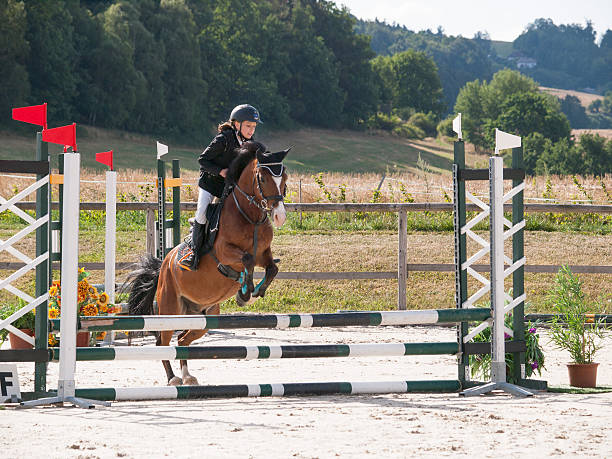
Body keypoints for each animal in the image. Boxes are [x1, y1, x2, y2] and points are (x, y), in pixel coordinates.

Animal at [125, 142, 290, 386]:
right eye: (262, 177)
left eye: (284, 177)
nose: (279, 216)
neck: (250, 217)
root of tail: (163, 265)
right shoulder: (225, 252)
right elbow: (247, 261)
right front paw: (245, 292)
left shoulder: (264, 254)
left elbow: (272, 268)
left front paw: (254, 293)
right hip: (170, 309)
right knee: (162, 343)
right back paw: (173, 378)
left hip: (205, 318)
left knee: (182, 341)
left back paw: (187, 376)